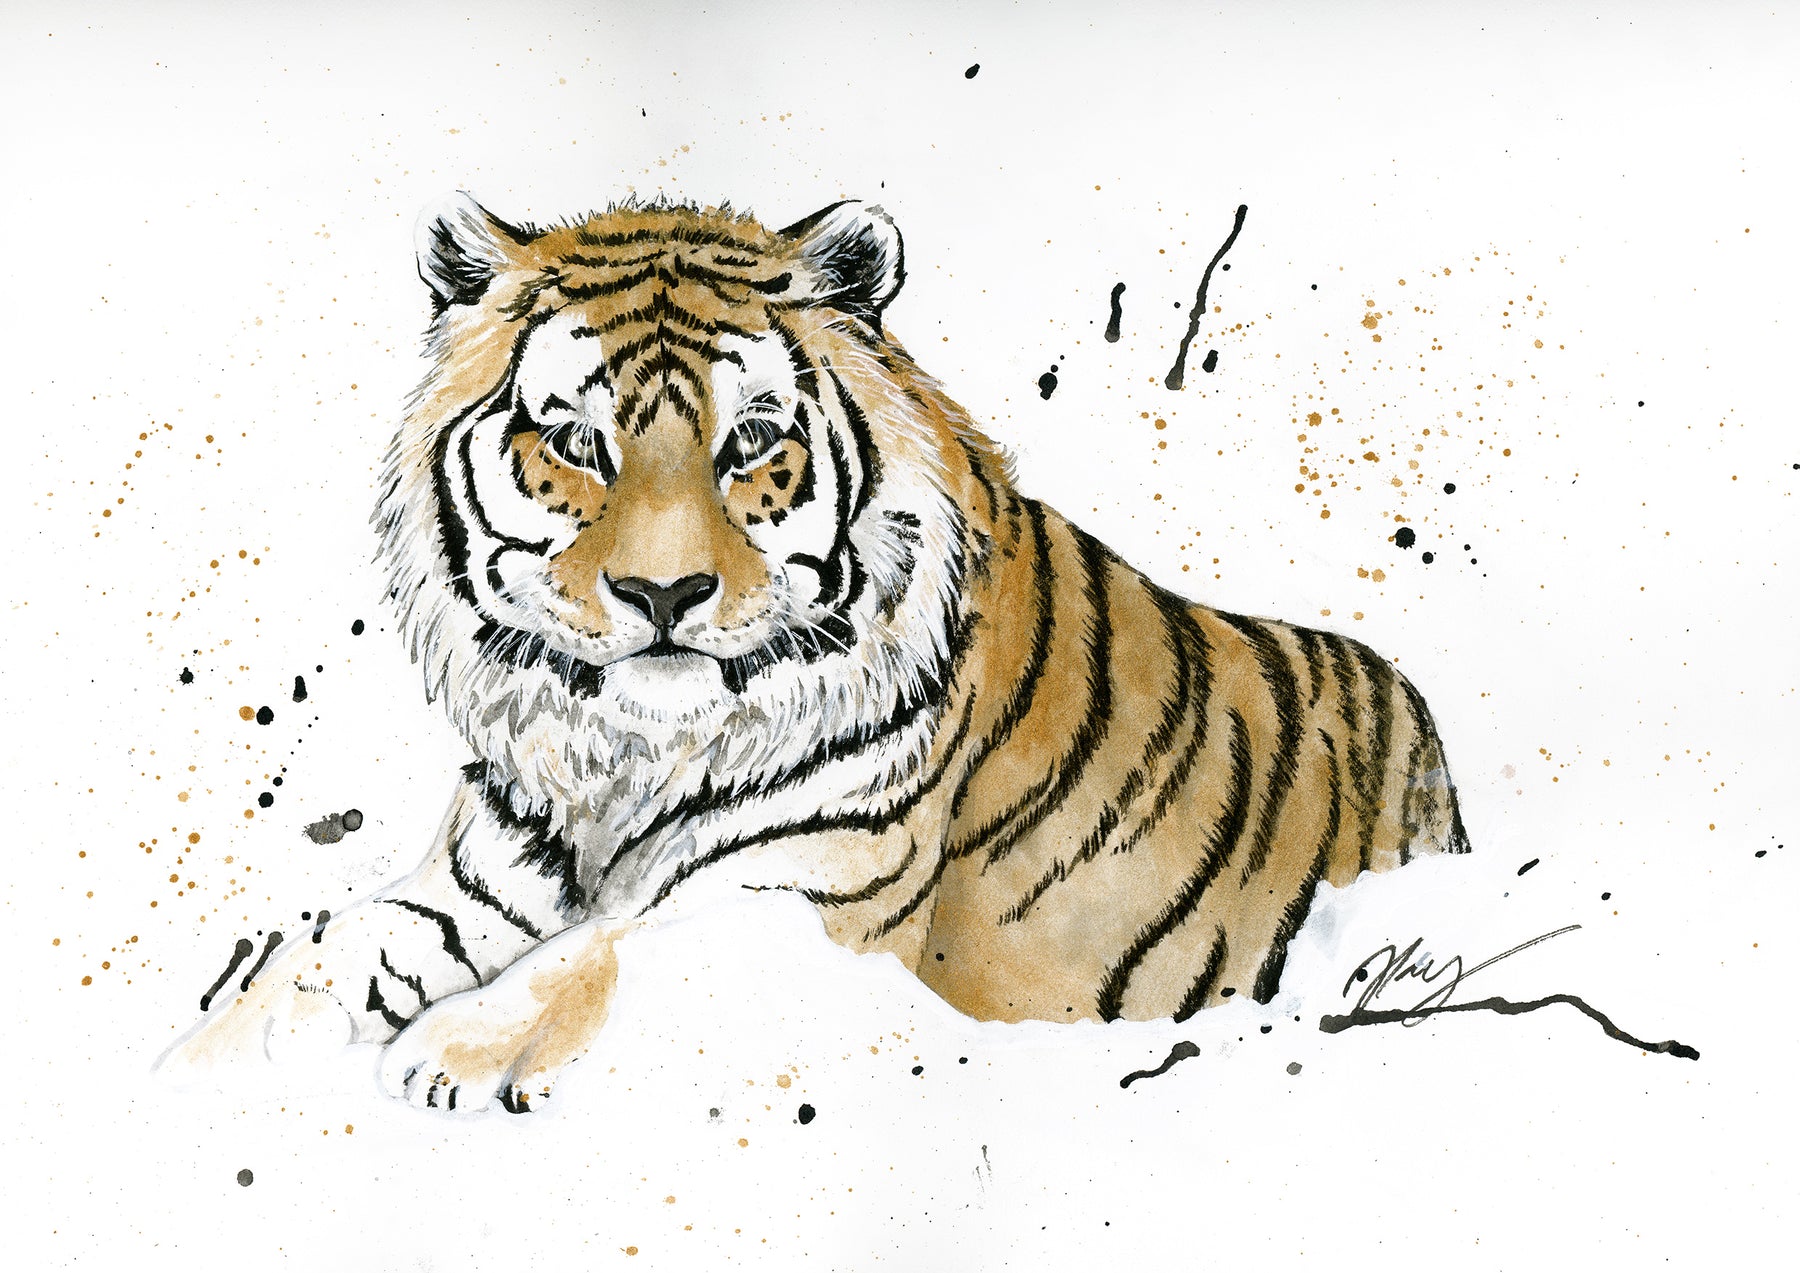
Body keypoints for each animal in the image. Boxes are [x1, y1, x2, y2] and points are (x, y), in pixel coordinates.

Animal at [160, 193, 1469, 1111]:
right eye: (574, 441)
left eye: (751, 443)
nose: (664, 592)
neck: (628, 755)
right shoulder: (481, 876)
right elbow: (329, 949)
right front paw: (206, 1057)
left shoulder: (802, 887)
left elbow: (604, 949)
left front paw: (451, 1050)